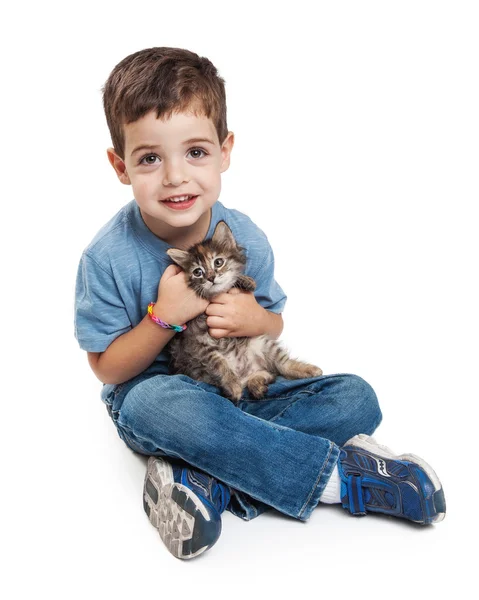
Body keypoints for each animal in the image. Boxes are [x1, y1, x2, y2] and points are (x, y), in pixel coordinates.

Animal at [167, 220, 324, 404]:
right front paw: (232, 386)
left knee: (282, 365)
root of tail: (248, 372)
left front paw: (247, 281)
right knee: (266, 374)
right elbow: (220, 365)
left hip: (262, 343)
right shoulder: (199, 346)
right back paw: (252, 383)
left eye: (218, 262)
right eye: (198, 272)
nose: (211, 278)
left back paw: (309, 370)